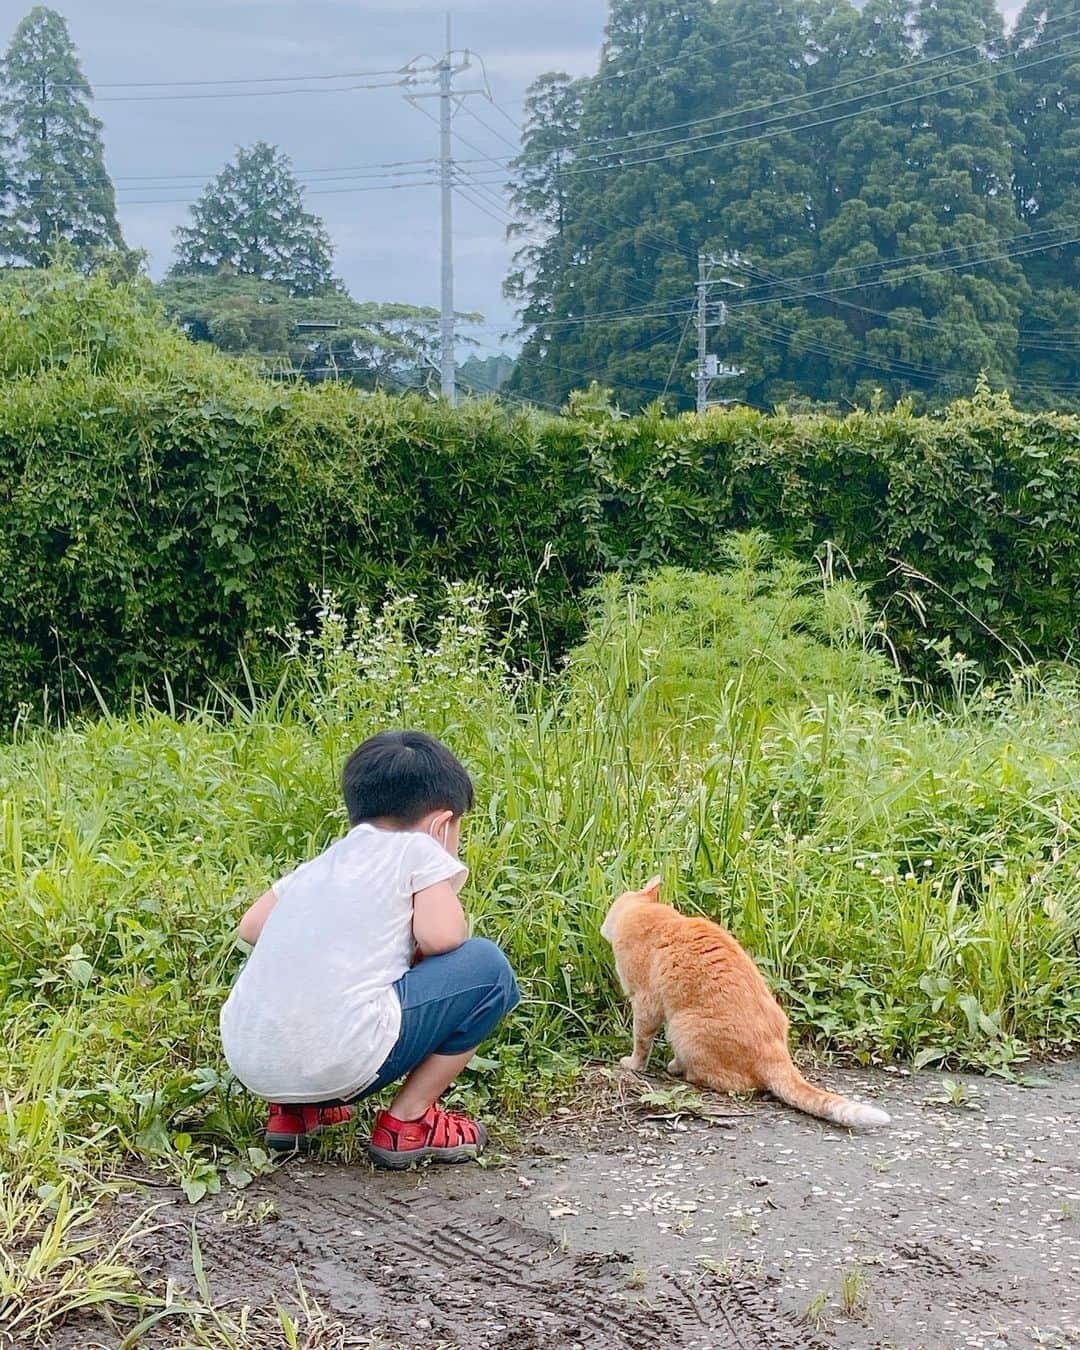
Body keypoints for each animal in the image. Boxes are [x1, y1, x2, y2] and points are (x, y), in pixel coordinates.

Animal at [602, 874, 891, 1128]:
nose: (602, 926)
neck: (655, 917)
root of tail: (776, 1051)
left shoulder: (644, 1003)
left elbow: (641, 1042)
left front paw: (633, 1064)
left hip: (684, 1028)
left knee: (731, 1082)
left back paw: (678, 1068)